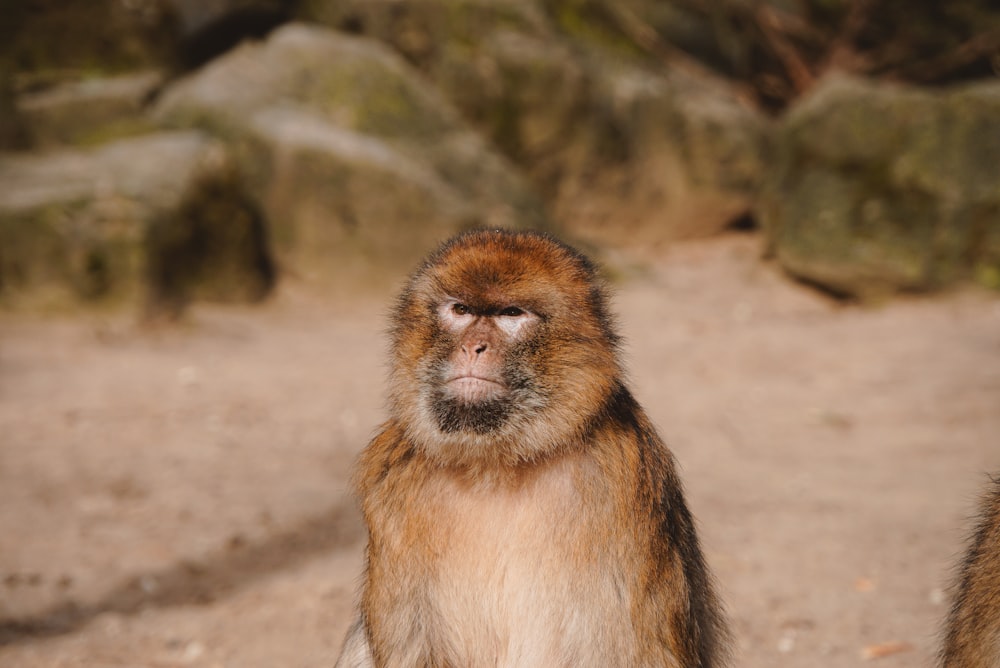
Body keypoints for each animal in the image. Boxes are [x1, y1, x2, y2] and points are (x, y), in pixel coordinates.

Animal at [334, 231, 728, 668]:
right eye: (460, 310)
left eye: (510, 313)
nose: (473, 346)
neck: (497, 465)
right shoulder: (392, 480)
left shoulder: (627, 481)